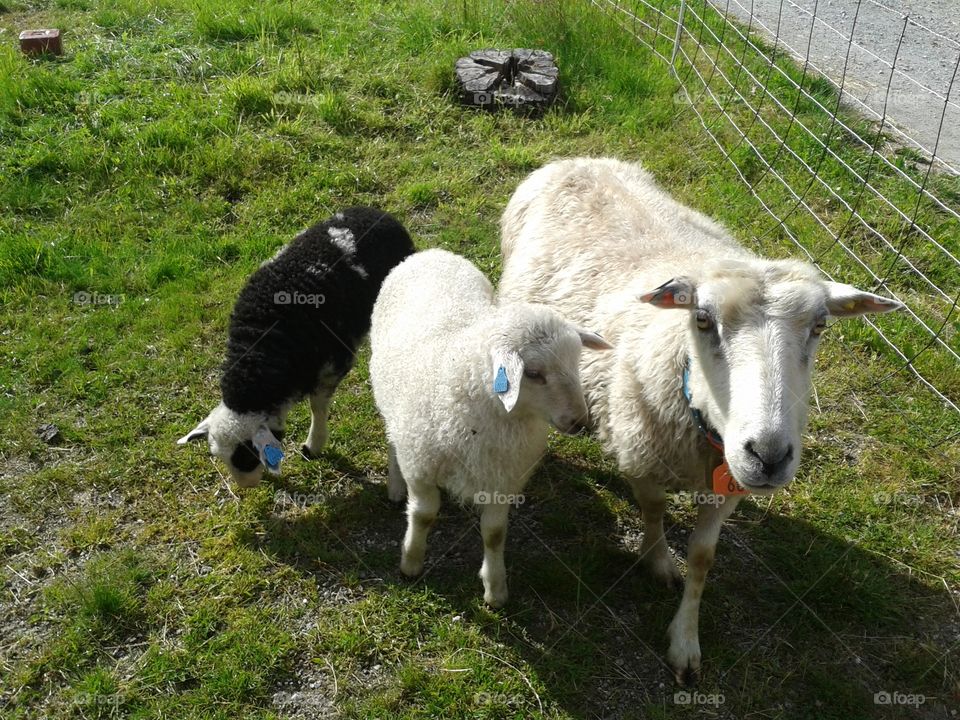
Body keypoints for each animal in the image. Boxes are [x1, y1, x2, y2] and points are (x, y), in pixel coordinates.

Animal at [178, 206, 415, 486]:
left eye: (247, 455)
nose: (247, 486)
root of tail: (380, 214)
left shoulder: (331, 365)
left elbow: (317, 407)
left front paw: (313, 445)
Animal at [369, 248, 612, 607]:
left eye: (576, 362)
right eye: (534, 374)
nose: (580, 422)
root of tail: (432, 252)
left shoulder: (503, 478)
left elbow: (495, 534)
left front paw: (495, 589)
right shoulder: (421, 467)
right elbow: (424, 515)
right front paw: (410, 562)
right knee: (391, 437)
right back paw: (396, 486)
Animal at [498, 157, 904, 684]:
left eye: (820, 326)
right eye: (703, 319)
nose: (768, 456)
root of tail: (579, 159)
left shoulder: (727, 484)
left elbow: (703, 557)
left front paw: (685, 640)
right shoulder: (644, 456)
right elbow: (653, 511)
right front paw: (656, 561)